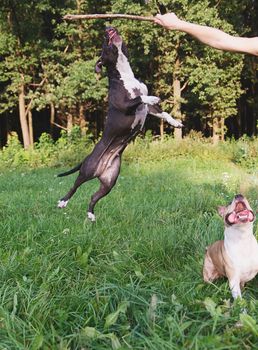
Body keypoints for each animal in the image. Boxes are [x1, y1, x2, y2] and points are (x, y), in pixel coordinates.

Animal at [57, 26, 182, 221]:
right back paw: (63, 201)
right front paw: (153, 97)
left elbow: (163, 113)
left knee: (93, 197)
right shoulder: (125, 105)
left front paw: (175, 122)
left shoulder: (148, 110)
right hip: (88, 170)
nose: (108, 27)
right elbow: (141, 97)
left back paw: (91, 215)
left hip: (109, 182)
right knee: (74, 185)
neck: (125, 74)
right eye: (104, 43)